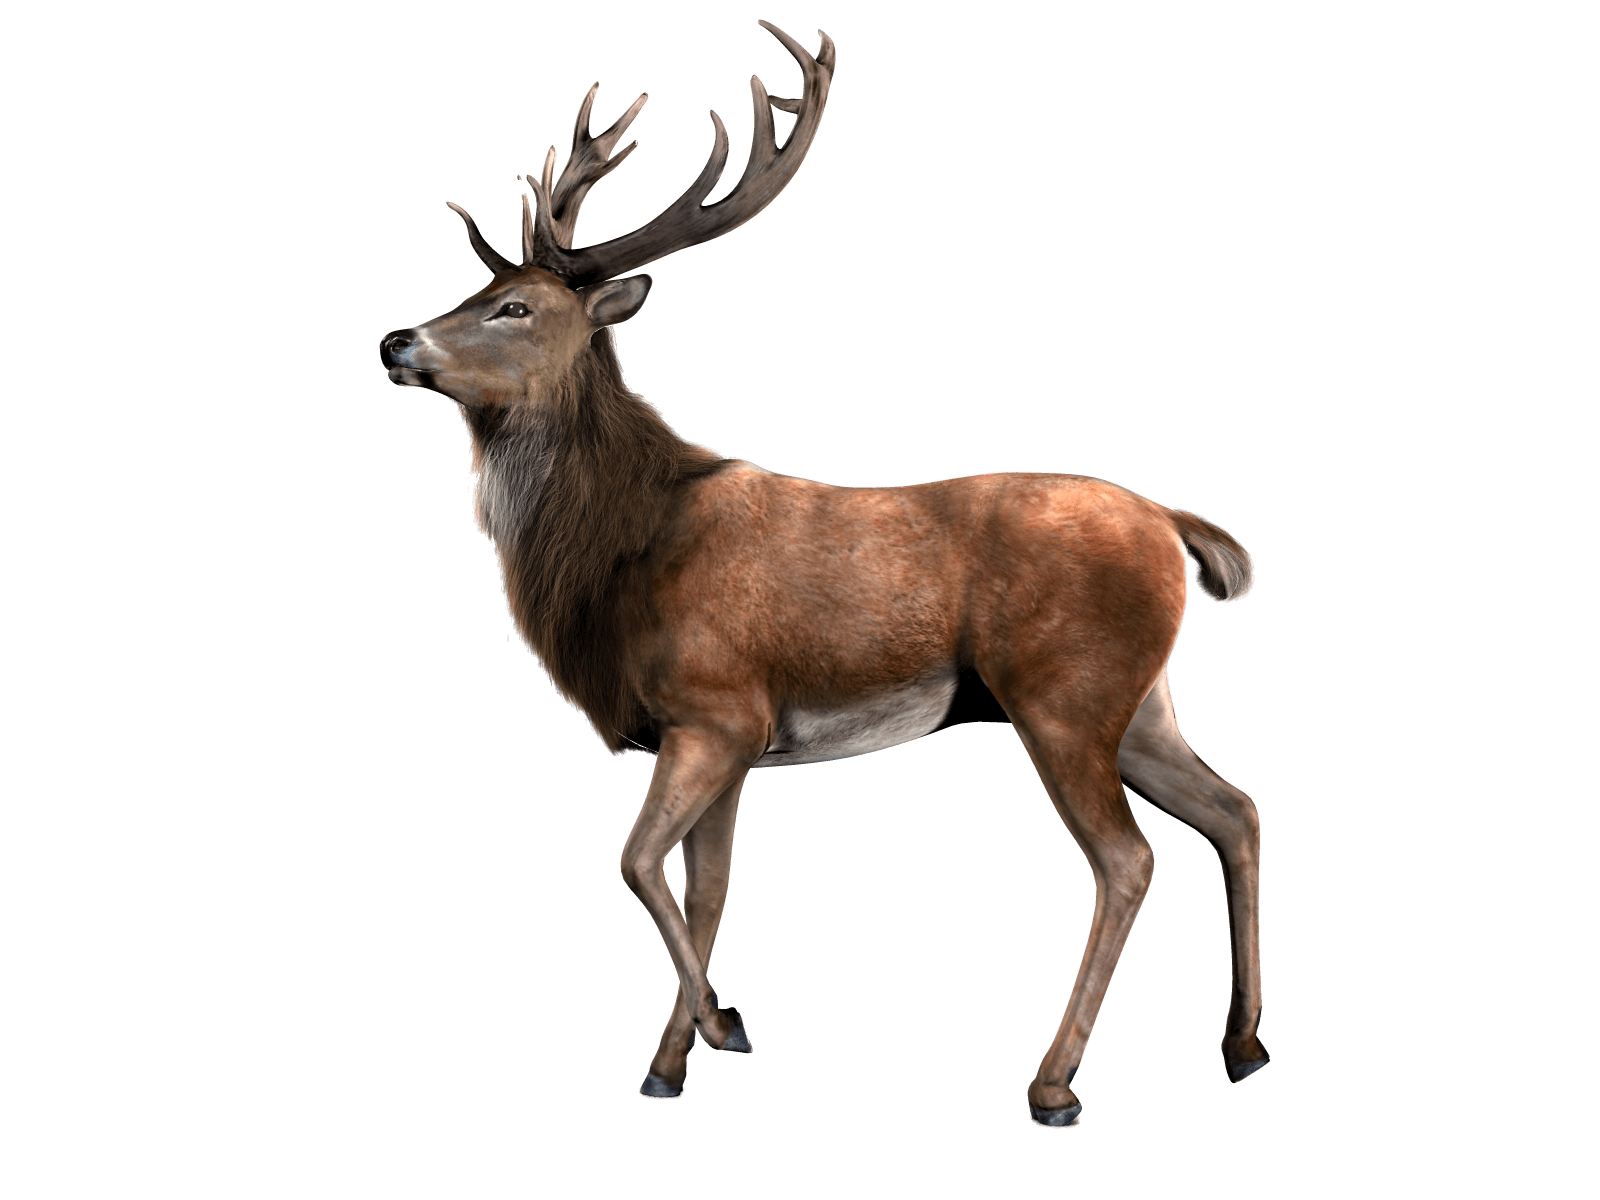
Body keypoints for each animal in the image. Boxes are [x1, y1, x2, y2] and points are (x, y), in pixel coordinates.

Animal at [378, 19, 1267, 1129]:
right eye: (470, 291)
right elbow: (705, 890)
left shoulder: (716, 707)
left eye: (514, 307)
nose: (395, 340)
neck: (620, 557)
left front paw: (721, 1029)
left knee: (1129, 859)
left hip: (1062, 693)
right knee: (1235, 810)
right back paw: (1242, 1046)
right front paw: (672, 1063)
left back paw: (1054, 1084)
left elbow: (635, 862)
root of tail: (1176, 529)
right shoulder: (731, 737)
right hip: (1140, 699)